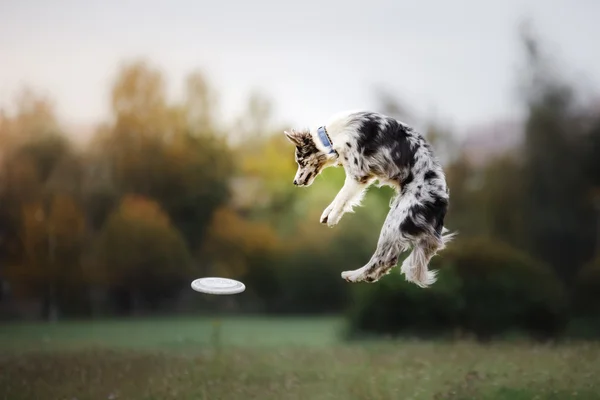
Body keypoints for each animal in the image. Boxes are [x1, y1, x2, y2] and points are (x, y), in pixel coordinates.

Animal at [284, 109, 454, 288]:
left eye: (301, 161)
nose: (295, 182)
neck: (332, 137)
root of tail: (442, 202)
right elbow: (340, 199)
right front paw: (327, 214)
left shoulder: (358, 175)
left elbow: (342, 196)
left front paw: (332, 217)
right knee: (386, 262)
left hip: (394, 222)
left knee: (383, 259)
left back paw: (353, 275)